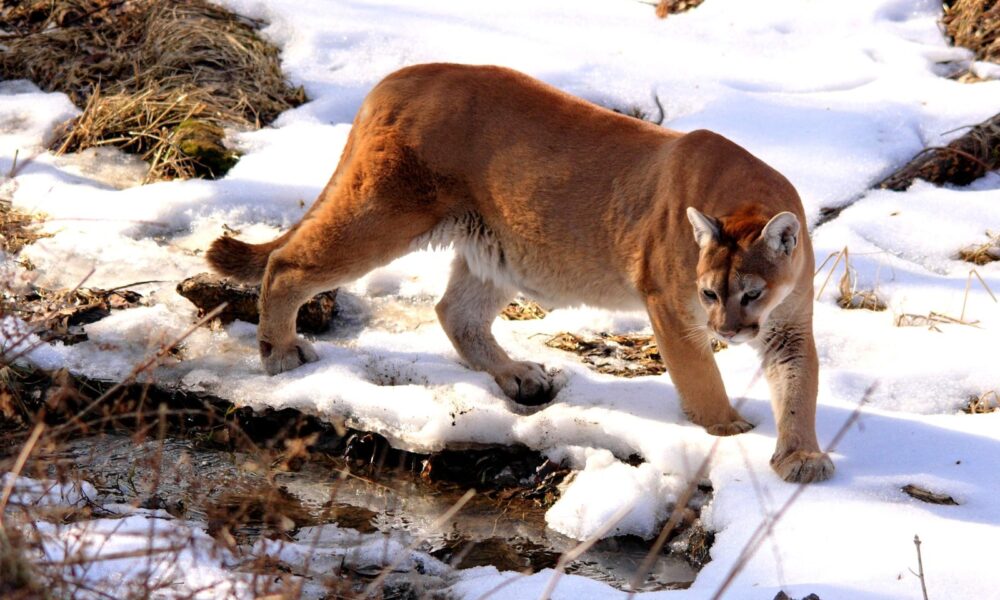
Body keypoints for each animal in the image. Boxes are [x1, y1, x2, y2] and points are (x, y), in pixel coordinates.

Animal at [206, 63, 833, 483]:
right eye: (708, 292)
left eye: (752, 293)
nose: (728, 331)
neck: (747, 197)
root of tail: (396, 76)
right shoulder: (671, 306)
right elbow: (700, 377)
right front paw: (726, 430)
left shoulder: (788, 323)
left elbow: (799, 385)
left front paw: (801, 456)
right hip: (384, 213)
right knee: (288, 263)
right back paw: (281, 351)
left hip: (497, 248)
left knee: (454, 312)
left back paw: (516, 376)